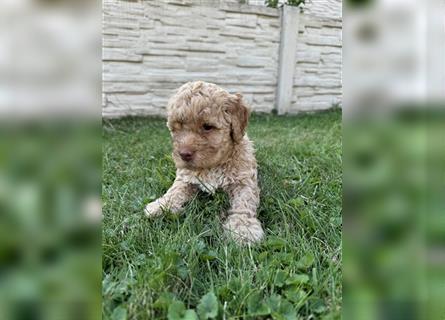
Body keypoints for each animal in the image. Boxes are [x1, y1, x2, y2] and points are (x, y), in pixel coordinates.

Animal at [145, 81, 264, 244]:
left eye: (207, 127)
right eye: (177, 128)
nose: (183, 154)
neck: (213, 165)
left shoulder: (243, 181)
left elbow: (244, 203)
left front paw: (243, 228)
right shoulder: (185, 178)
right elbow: (175, 191)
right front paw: (161, 205)